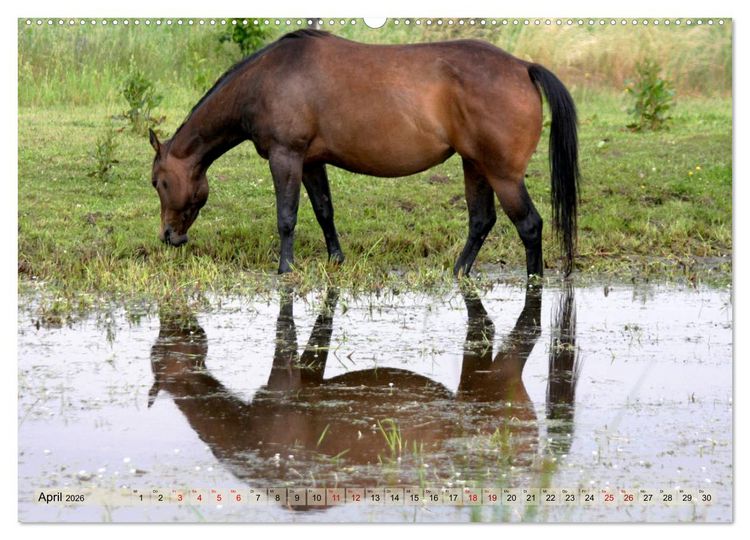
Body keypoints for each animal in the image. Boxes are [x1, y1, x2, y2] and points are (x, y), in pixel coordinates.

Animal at [148, 29, 580, 276]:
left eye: (158, 182)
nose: (169, 236)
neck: (267, 80)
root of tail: (523, 67)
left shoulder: (286, 157)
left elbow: (287, 217)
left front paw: (285, 268)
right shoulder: (310, 162)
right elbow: (324, 211)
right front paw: (335, 260)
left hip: (503, 174)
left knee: (529, 226)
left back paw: (534, 283)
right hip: (474, 165)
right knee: (481, 221)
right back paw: (458, 272)